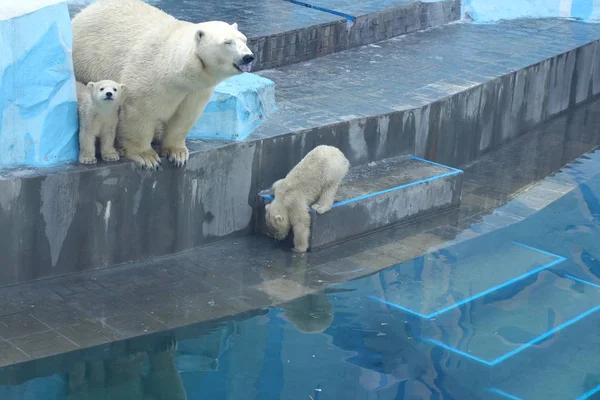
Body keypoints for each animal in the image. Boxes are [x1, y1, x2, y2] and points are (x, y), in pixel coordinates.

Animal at [71, 0, 254, 170]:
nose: (248, 57)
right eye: (227, 42)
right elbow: (139, 112)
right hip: (85, 61)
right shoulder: (150, 75)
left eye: (244, 40)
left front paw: (178, 154)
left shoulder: (197, 90)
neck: (176, 69)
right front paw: (147, 157)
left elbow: (185, 116)